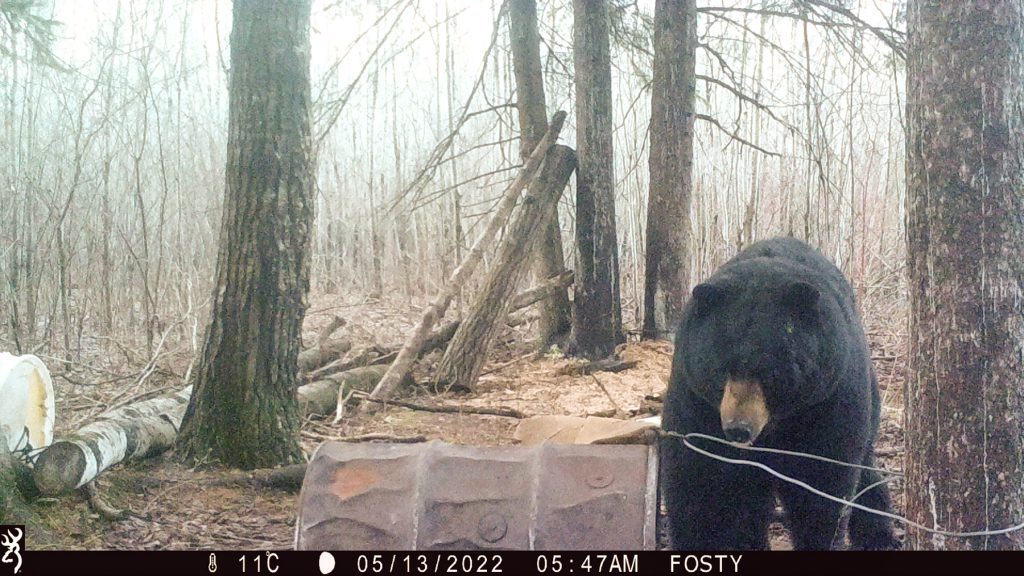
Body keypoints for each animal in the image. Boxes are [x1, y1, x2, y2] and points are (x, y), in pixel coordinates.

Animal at [663, 236, 897, 545]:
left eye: (770, 372)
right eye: (721, 369)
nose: (738, 429)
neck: (774, 425)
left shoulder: (828, 400)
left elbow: (822, 484)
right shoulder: (695, 401)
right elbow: (699, 484)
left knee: (868, 479)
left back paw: (881, 536)